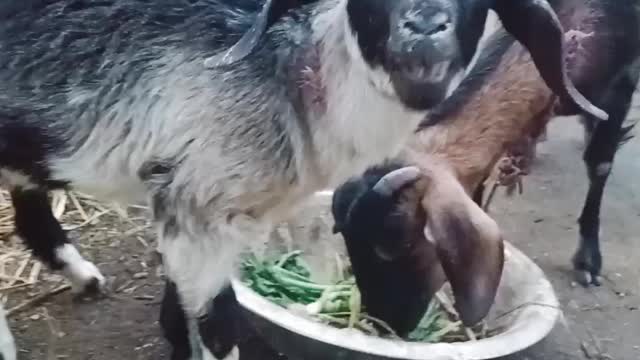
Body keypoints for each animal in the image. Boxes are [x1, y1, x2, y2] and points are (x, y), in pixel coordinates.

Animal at [0, 0, 604, 360]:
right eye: (394, 245)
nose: (426, 30)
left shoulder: (197, 208)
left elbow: (181, 310)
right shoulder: (197, 206)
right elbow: (220, 325)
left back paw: (83, 278)